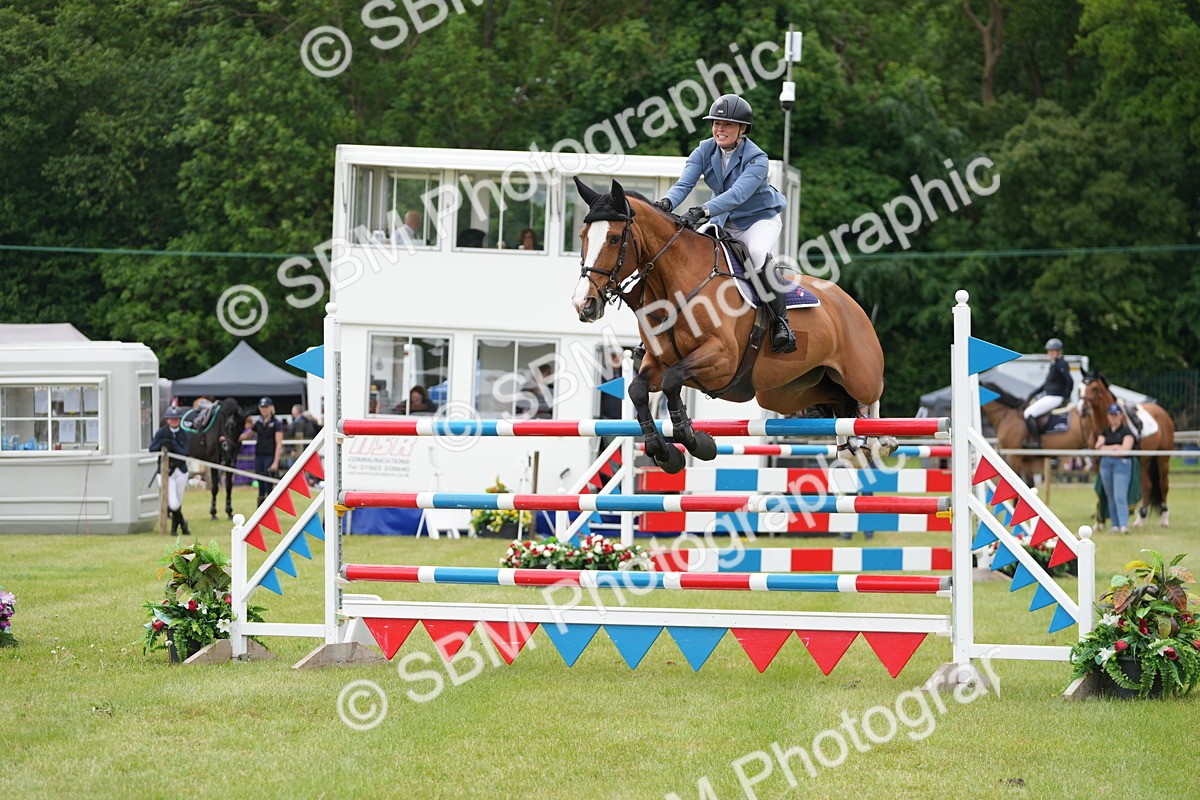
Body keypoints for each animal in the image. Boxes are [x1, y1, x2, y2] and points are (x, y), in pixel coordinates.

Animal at [569, 178, 890, 474]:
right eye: (583, 236)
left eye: (613, 238)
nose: (583, 303)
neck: (674, 283)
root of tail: (849, 301)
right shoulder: (658, 361)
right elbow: (637, 390)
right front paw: (663, 451)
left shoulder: (722, 358)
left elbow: (673, 381)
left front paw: (695, 440)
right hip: (788, 391)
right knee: (839, 401)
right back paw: (849, 448)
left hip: (859, 373)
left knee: (873, 393)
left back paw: (880, 441)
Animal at [1080, 374, 1174, 527]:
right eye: (1079, 388)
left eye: (1094, 388)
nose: (1082, 409)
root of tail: (1162, 412)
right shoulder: (1098, 462)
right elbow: (1102, 489)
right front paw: (1099, 522)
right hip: (1143, 461)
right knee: (1147, 485)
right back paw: (1140, 519)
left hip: (1162, 459)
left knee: (1163, 485)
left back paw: (1164, 519)